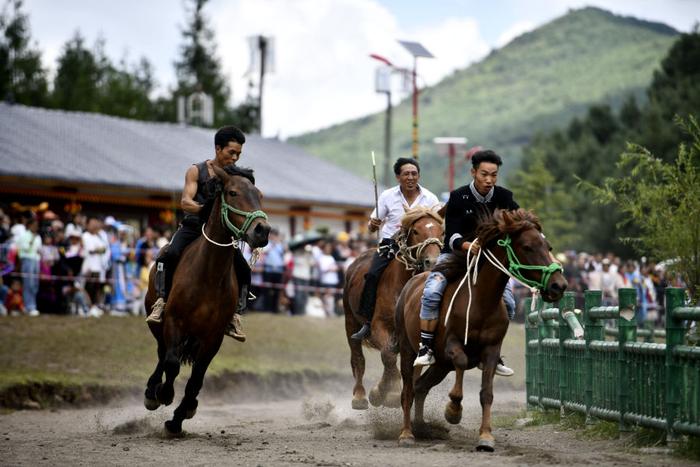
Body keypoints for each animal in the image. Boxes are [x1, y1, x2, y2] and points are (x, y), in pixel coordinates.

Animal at [143, 164, 270, 436]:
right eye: (232, 192)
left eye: (260, 195)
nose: (262, 230)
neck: (209, 274)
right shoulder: (174, 322)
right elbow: (172, 363)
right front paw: (165, 394)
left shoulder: (213, 336)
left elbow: (196, 380)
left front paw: (179, 417)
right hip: (158, 324)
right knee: (162, 354)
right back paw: (152, 392)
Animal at [344, 207, 442, 412]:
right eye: (416, 231)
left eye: (441, 231)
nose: (433, 261)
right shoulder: (379, 326)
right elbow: (387, 356)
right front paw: (388, 394)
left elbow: (411, 365)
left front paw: (389, 392)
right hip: (350, 321)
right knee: (358, 358)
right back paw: (359, 396)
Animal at [396, 210, 568, 452]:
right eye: (527, 247)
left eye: (548, 246)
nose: (558, 285)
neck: (480, 301)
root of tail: (410, 285)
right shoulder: (452, 344)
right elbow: (460, 364)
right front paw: (453, 411)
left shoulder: (491, 350)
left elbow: (487, 393)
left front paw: (486, 437)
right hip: (408, 350)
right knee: (408, 391)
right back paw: (406, 433)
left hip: (441, 365)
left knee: (420, 387)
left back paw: (421, 427)